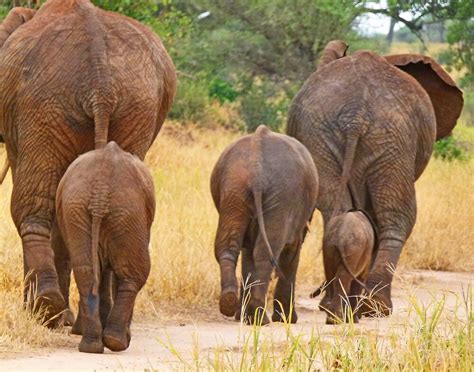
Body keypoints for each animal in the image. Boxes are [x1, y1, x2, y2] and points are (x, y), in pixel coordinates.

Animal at [55, 141, 156, 354]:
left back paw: (90, 346)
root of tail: (100, 193)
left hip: (77, 209)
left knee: (86, 272)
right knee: (134, 274)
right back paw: (116, 342)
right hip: (127, 212)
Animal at [211, 124, 318, 322]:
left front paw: (243, 317)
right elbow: (292, 251)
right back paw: (260, 317)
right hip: (282, 194)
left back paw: (231, 303)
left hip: (234, 187)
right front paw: (287, 320)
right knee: (266, 253)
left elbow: (248, 253)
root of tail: (256, 168)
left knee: (229, 246)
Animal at [286, 40, 462, 314]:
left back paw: (339, 305)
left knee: (341, 211)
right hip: (390, 140)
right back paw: (374, 307)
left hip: (331, 137)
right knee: (397, 217)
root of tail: (355, 113)